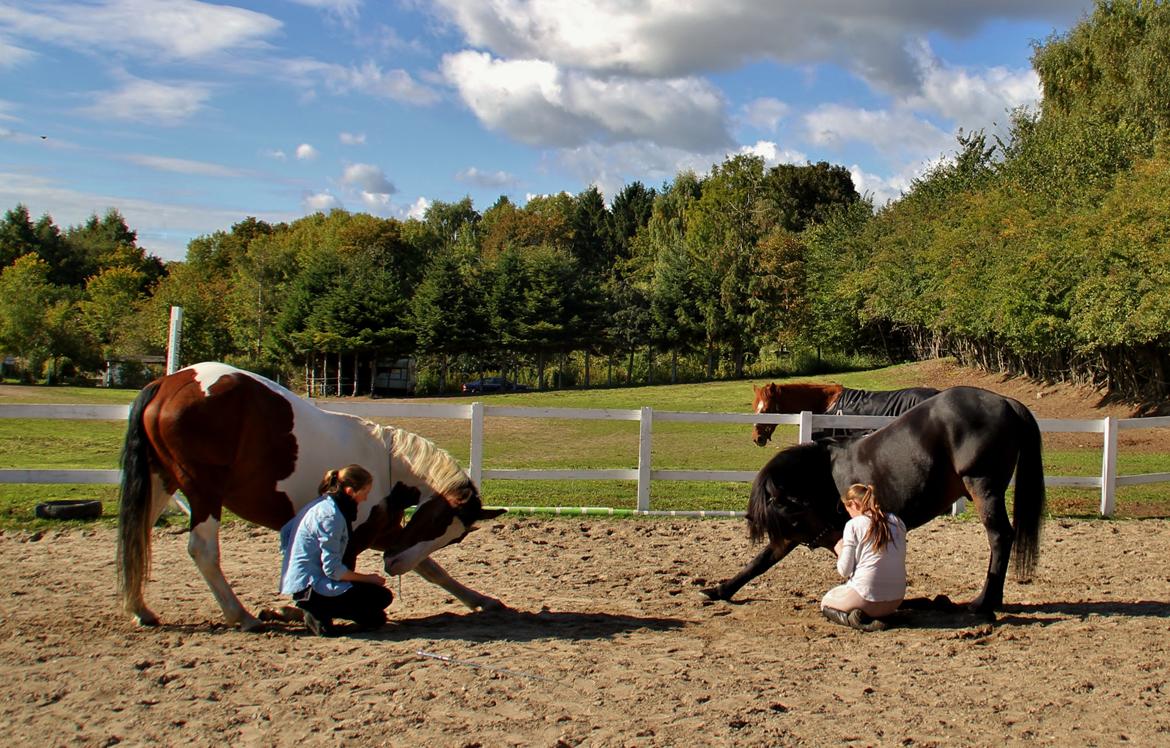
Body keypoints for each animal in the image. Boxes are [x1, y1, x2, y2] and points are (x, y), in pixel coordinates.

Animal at [116, 362, 510, 632]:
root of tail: (167, 383)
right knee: (202, 550)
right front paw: (292, 610)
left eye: (455, 538)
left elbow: (431, 568)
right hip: (203, 492)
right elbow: (341, 578)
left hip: (161, 481)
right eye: (437, 520)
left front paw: (481, 600)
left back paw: (140, 609)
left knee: (138, 537)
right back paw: (241, 615)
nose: (394, 565)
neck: (387, 463)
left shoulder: (384, 533)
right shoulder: (356, 538)